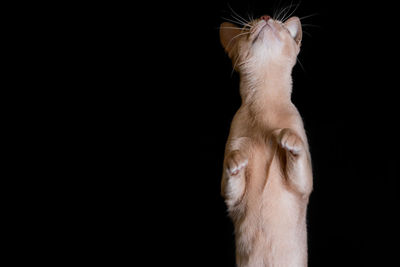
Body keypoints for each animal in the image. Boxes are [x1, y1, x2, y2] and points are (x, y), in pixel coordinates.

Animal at [220, 15, 314, 267]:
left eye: (280, 25)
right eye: (246, 27)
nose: (265, 17)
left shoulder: (303, 186)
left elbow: (298, 156)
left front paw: (288, 139)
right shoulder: (231, 198)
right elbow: (231, 178)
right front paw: (236, 161)